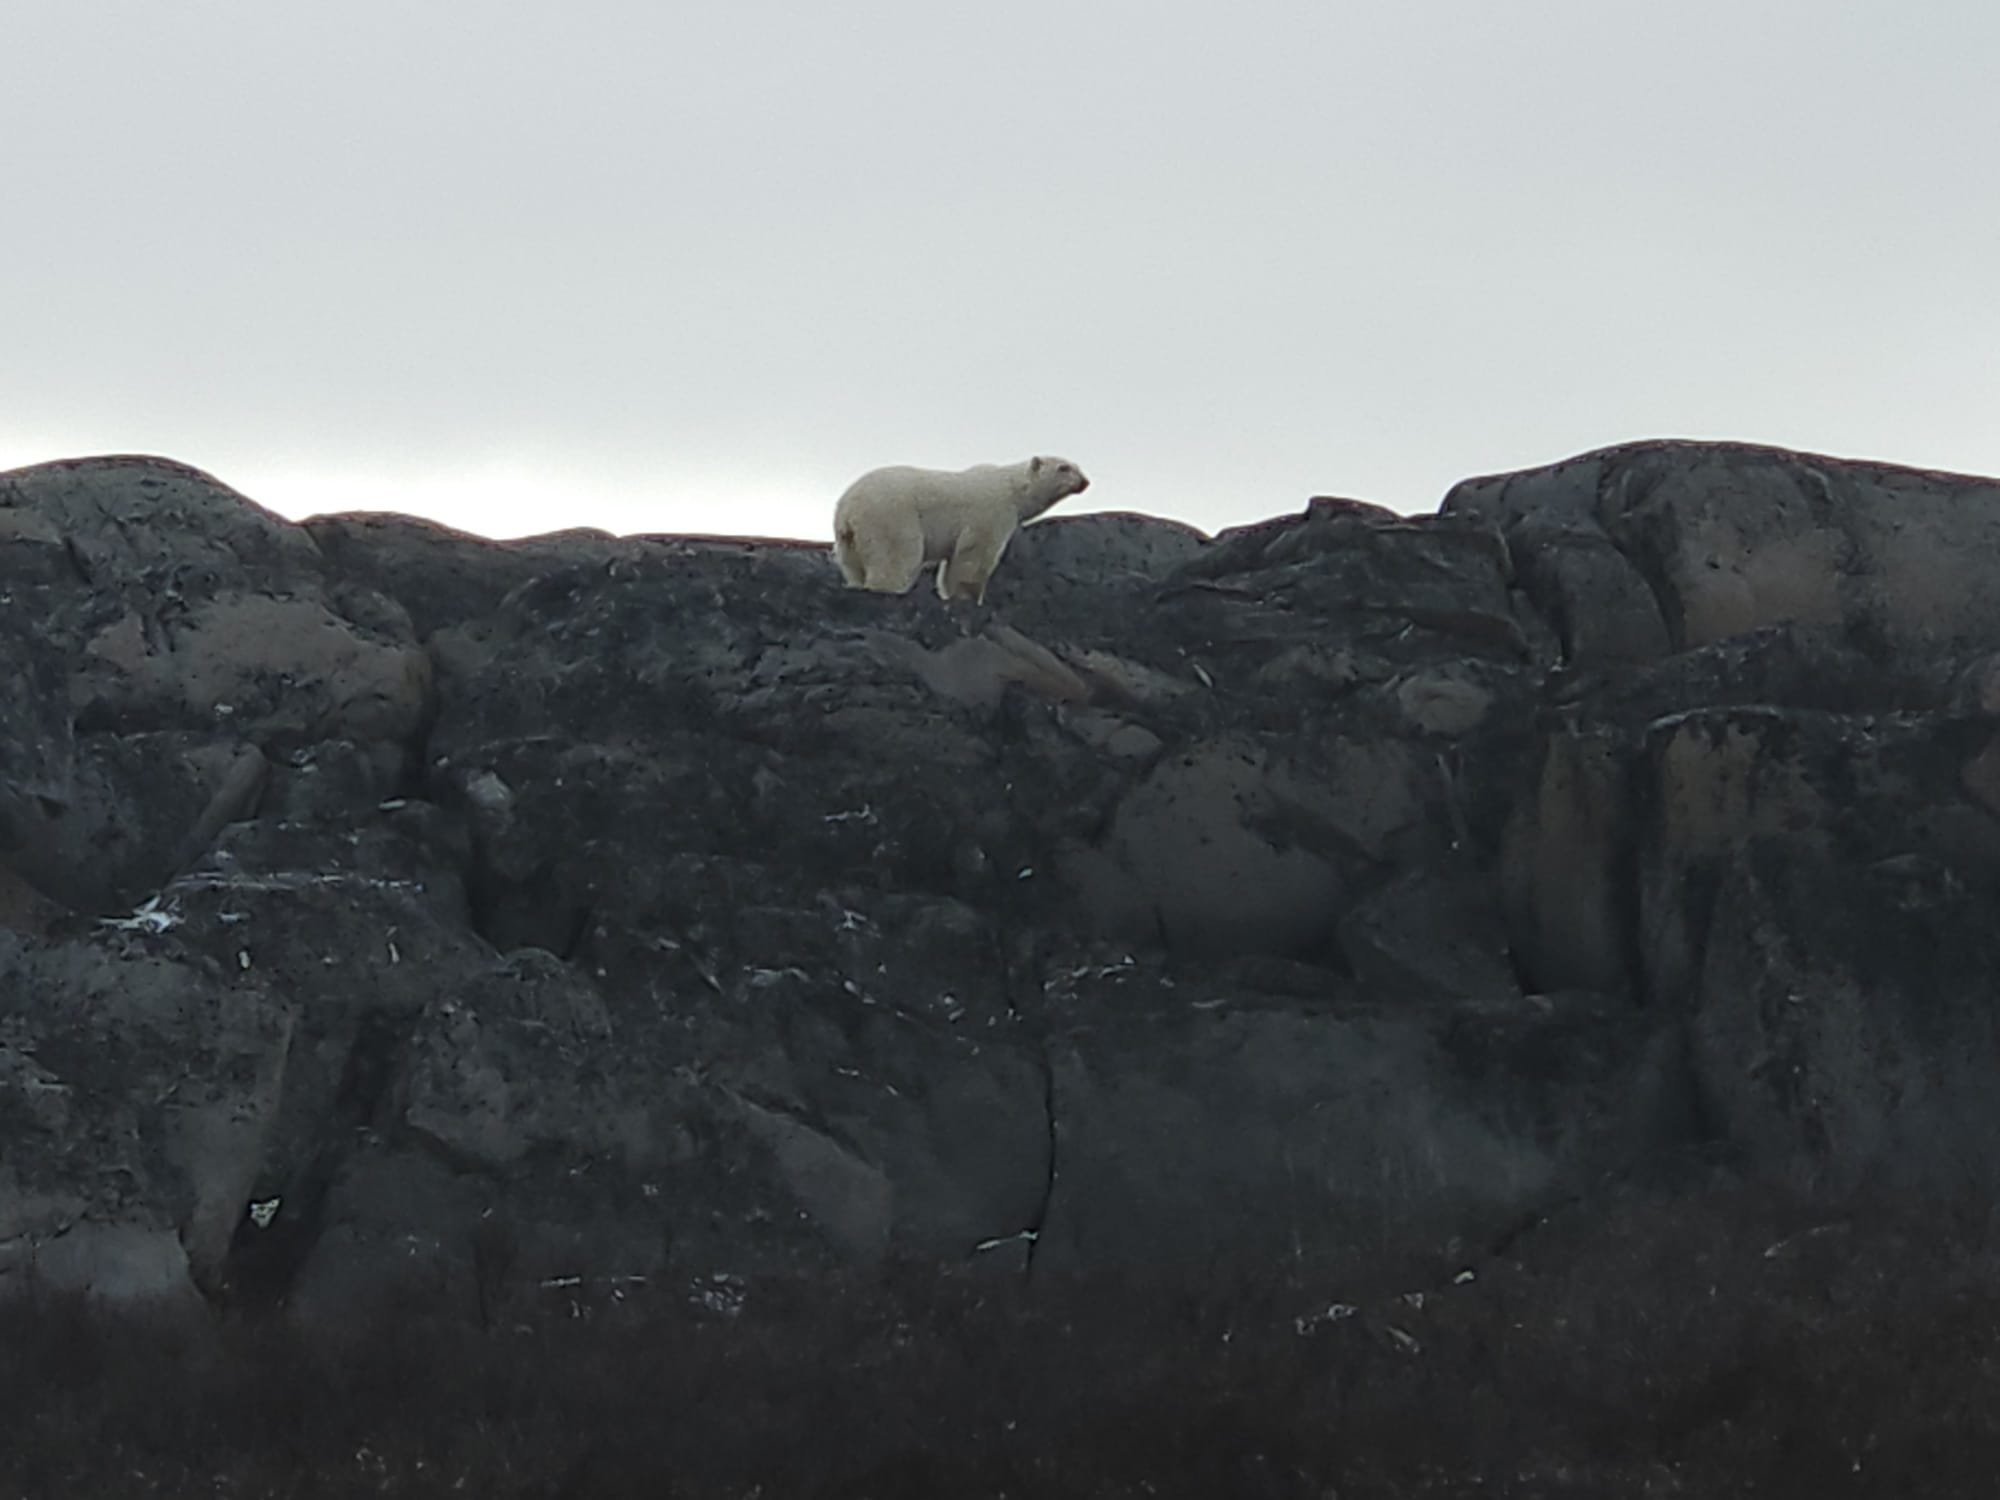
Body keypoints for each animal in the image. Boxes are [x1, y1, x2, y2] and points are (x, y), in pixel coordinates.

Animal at [832, 456, 1090, 604]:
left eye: (1078, 466)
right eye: (1063, 468)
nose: (1085, 481)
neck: (1012, 488)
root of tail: (847, 508)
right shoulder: (990, 511)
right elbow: (975, 556)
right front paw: (969, 597)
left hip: (847, 540)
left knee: (853, 565)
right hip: (890, 516)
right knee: (898, 556)